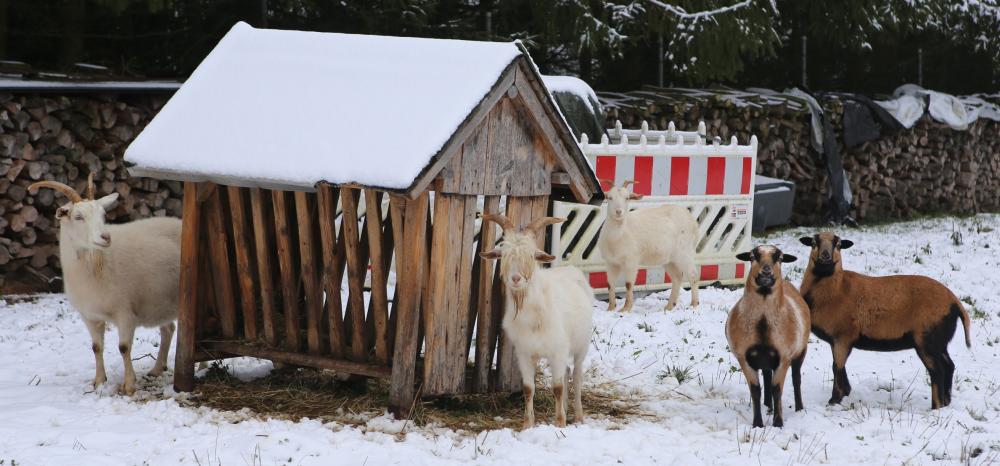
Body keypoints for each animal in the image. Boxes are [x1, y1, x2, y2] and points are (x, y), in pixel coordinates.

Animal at [28, 174, 182, 394]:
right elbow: (96, 347)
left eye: (103, 215)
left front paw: (129, 385)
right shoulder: (89, 316)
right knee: (168, 329)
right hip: (159, 302)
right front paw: (99, 381)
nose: (106, 237)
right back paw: (157, 369)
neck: (98, 263)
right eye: (78, 217)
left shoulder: (125, 312)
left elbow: (124, 348)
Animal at [478, 213, 592, 428]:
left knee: (576, 375)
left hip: (582, 345)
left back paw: (579, 416)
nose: (515, 279)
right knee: (566, 372)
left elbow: (557, 387)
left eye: (531, 256)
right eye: (504, 255)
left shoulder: (558, 350)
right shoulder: (524, 353)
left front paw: (560, 423)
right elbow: (528, 388)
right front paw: (528, 424)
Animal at [596, 180, 700, 312]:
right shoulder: (610, 263)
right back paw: (669, 306)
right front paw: (610, 308)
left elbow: (628, 284)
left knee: (693, 275)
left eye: (627, 198)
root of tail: (693, 222)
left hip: (685, 252)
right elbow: (610, 284)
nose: (619, 212)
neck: (617, 235)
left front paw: (626, 309)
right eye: (609, 197)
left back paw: (694, 304)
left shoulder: (631, 261)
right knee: (677, 277)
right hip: (669, 259)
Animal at [728, 246, 812, 428]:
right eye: (752, 256)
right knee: (766, 378)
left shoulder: (783, 358)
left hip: (801, 351)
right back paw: (768, 406)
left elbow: (777, 389)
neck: (763, 324)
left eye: (779, 258)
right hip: (766, 361)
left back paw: (799, 408)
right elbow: (755, 390)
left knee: (796, 379)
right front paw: (758, 424)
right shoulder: (744, 358)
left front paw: (778, 423)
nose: (766, 272)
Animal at [796, 232, 968, 408]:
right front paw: (846, 392)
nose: (825, 256)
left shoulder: (843, 337)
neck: (837, 289)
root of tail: (955, 302)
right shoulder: (836, 340)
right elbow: (838, 367)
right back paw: (946, 402)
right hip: (940, 341)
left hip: (927, 339)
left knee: (937, 371)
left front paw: (834, 399)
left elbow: (836, 366)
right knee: (949, 366)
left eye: (838, 245)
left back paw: (936, 406)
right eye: (814, 243)